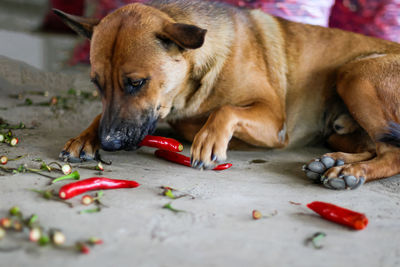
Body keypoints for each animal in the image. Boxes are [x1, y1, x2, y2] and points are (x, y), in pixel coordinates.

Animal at [54, 0, 400, 191]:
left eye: (137, 82)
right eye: (97, 84)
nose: (110, 142)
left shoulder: (274, 121)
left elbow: (226, 111)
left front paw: (208, 140)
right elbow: (103, 113)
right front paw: (85, 137)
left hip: (356, 74)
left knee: (392, 153)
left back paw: (349, 172)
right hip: (344, 122)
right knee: (377, 147)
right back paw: (334, 162)